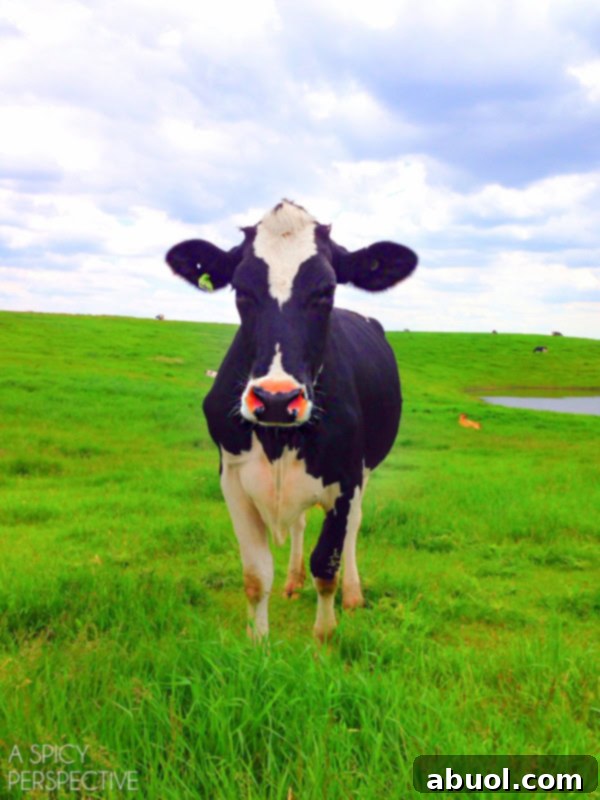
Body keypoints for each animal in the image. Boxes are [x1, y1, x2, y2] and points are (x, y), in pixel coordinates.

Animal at [166, 200, 418, 641]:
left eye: (326, 291)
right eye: (241, 290)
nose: (276, 399)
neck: (278, 438)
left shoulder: (347, 478)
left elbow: (327, 565)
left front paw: (324, 640)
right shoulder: (233, 480)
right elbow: (255, 575)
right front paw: (258, 643)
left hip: (366, 470)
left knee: (354, 527)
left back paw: (354, 594)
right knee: (299, 523)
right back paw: (292, 581)